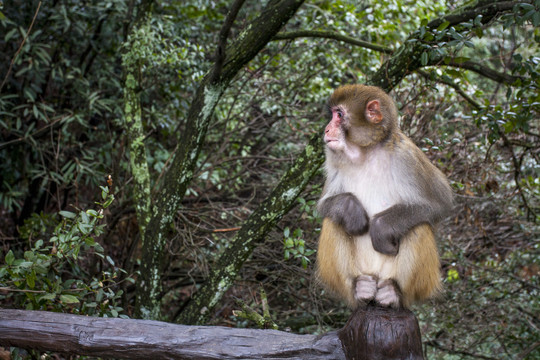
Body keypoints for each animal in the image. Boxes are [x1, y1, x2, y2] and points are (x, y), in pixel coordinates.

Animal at [314, 83, 454, 308]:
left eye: (339, 114)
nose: (326, 129)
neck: (366, 152)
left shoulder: (406, 156)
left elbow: (441, 203)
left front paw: (381, 228)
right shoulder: (333, 160)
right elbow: (324, 205)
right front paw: (351, 210)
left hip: (415, 281)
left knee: (419, 226)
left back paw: (394, 293)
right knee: (332, 220)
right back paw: (359, 288)